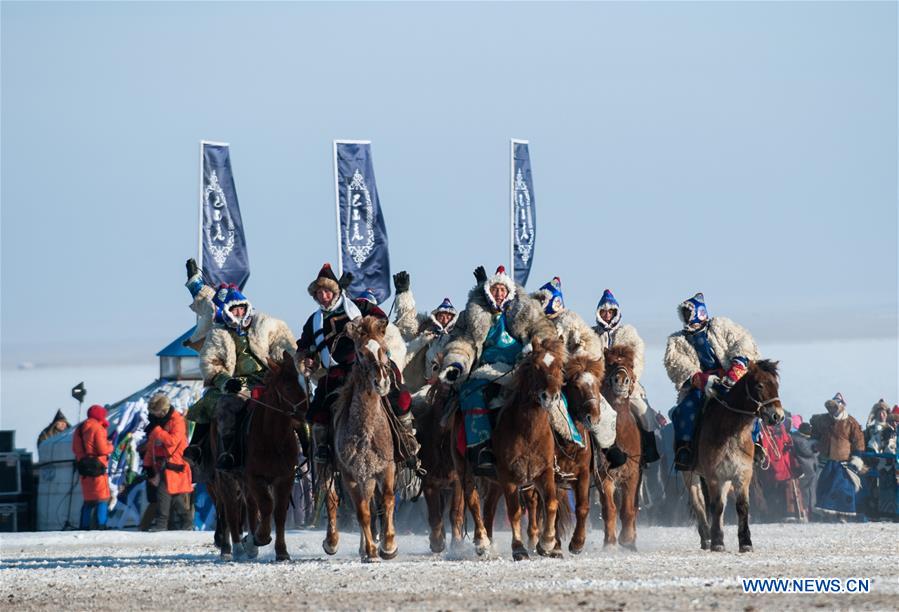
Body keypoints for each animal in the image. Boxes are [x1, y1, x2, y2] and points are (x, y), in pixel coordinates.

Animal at [241, 352, 312, 560]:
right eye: (288, 386)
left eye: (305, 383)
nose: (308, 414)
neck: (272, 439)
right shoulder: (254, 477)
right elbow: (266, 505)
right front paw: (261, 537)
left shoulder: (285, 477)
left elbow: (279, 512)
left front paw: (282, 551)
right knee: (249, 506)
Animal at [322, 318, 396, 560]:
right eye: (361, 352)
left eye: (384, 348)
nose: (381, 382)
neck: (366, 433)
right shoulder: (350, 475)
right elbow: (362, 512)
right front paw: (372, 550)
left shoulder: (385, 468)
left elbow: (387, 499)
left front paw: (389, 545)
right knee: (333, 500)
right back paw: (335, 542)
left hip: (370, 477)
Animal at [596, 344, 648, 548]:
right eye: (609, 363)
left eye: (631, 365)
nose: (621, 380)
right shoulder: (604, 477)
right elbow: (609, 509)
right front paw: (610, 543)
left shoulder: (632, 475)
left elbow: (628, 509)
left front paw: (626, 539)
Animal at [684, 360, 784, 552]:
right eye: (759, 385)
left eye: (776, 385)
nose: (778, 416)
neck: (730, 431)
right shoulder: (715, 476)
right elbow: (715, 506)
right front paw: (717, 542)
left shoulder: (742, 474)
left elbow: (741, 506)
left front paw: (745, 542)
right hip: (690, 475)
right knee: (699, 504)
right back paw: (706, 537)